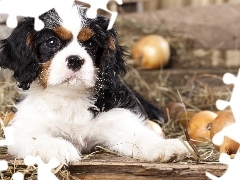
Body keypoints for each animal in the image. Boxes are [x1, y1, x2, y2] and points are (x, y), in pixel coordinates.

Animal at [0, 5, 189, 163]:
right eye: (51, 42)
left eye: (91, 44)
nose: (75, 60)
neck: (71, 97)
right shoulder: (26, 126)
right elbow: (35, 137)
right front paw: (58, 147)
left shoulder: (118, 117)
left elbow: (139, 135)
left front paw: (165, 146)